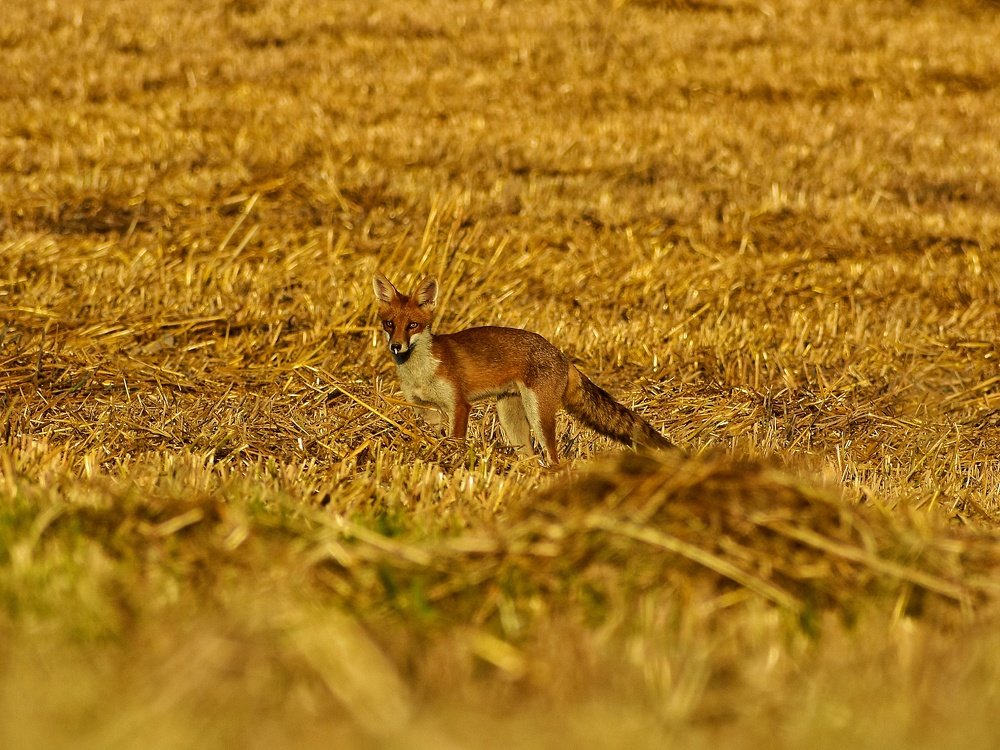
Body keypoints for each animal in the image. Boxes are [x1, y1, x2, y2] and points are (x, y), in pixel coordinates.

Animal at [372, 273, 672, 465]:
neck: (421, 373)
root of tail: (561, 354)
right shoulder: (424, 409)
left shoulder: (459, 405)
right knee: (531, 458)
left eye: (413, 325)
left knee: (554, 459)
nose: (396, 346)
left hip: (538, 414)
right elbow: (434, 436)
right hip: (510, 418)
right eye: (389, 324)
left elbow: (456, 441)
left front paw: (453, 463)